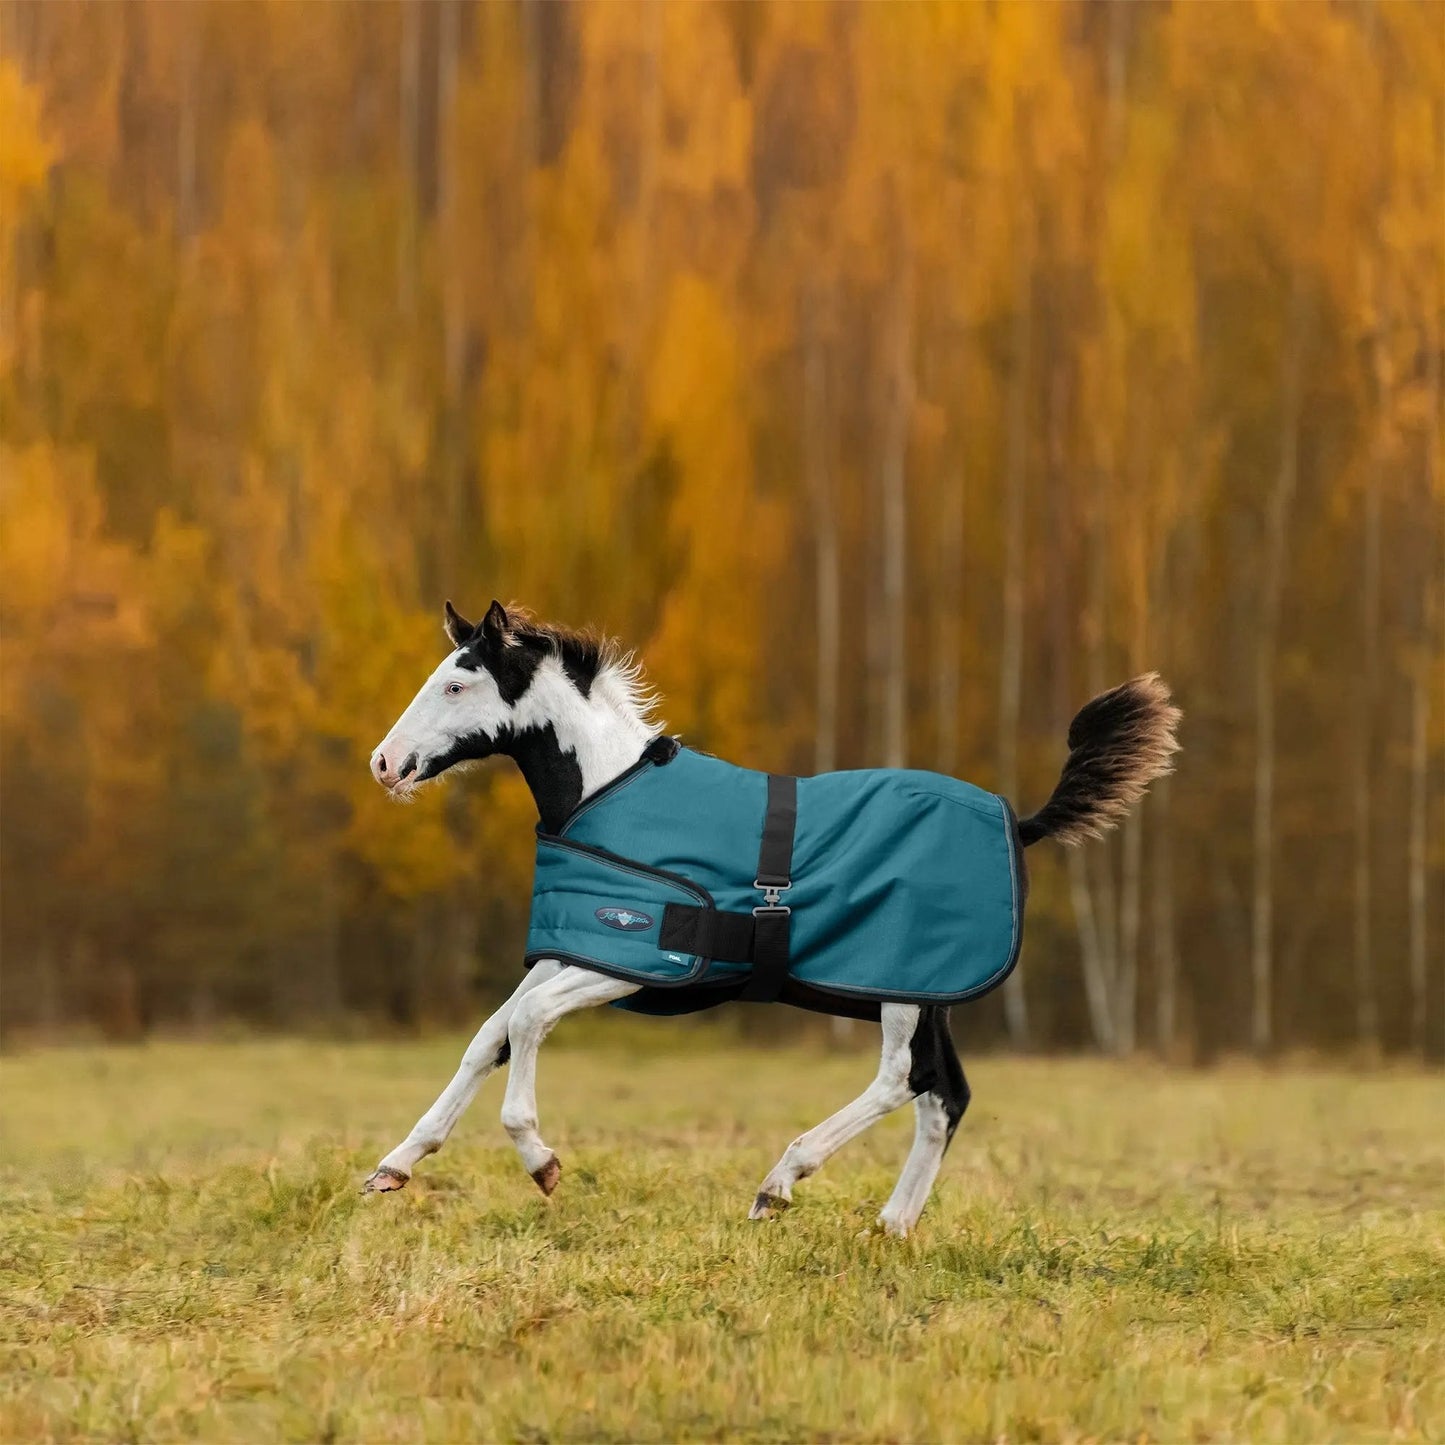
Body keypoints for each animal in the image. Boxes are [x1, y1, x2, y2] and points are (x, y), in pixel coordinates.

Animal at [363, 599, 1180, 1236]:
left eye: (457, 682)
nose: (384, 763)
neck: (605, 790)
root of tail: (1021, 824)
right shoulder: (574, 951)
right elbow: (491, 1036)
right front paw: (394, 1166)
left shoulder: (637, 962)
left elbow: (528, 1024)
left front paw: (541, 1161)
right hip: (928, 995)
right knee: (944, 1095)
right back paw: (889, 1227)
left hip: (900, 991)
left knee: (901, 1079)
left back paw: (780, 1181)